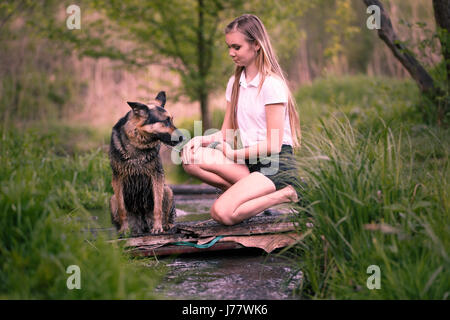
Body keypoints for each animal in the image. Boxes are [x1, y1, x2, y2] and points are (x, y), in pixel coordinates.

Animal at [108, 91, 184, 236]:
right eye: (166, 121)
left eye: (171, 119)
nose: (183, 137)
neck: (138, 143)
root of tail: (142, 223)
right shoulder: (117, 179)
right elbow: (122, 209)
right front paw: (124, 229)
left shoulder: (156, 176)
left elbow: (158, 207)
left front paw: (158, 227)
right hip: (112, 198)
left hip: (168, 191)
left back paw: (167, 225)